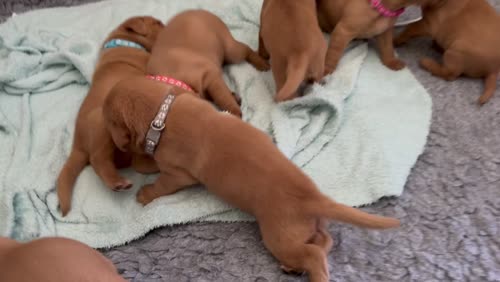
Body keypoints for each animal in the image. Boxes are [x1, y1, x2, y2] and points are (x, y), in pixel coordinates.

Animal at [57, 16, 163, 216]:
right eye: (158, 24)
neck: (125, 41)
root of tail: (78, 144)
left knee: (136, 163)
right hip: (104, 128)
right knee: (99, 159)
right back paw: (118, 182)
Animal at [103, 76, 400, 282]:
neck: (161, 115)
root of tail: (315, 197)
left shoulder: (178, 174)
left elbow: (163, 184)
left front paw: (145, 193)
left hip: (279, 238)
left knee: (314, 254)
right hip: (308, 228)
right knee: (325, 241)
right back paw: (296, 265)